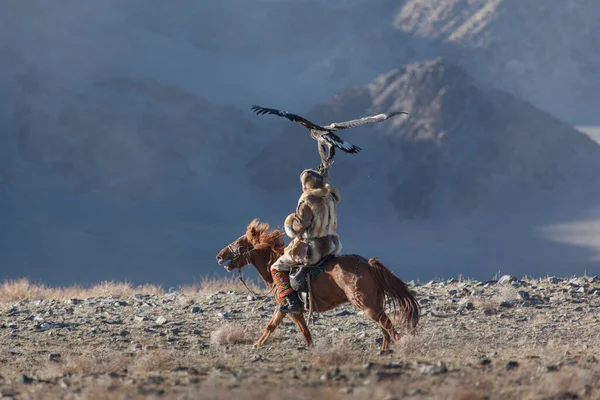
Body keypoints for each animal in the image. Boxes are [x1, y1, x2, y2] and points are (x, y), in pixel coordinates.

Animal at [213, 219, 420, 350]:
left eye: (239, 243)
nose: (219, 256)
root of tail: (368, 263)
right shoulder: (284, 309)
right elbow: (275, 327)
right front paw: (257, 345)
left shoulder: (290, 308)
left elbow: (299, 330)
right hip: (374, 304)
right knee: (385, 326)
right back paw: (384, 351)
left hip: (367, 305)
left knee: (388, 326)